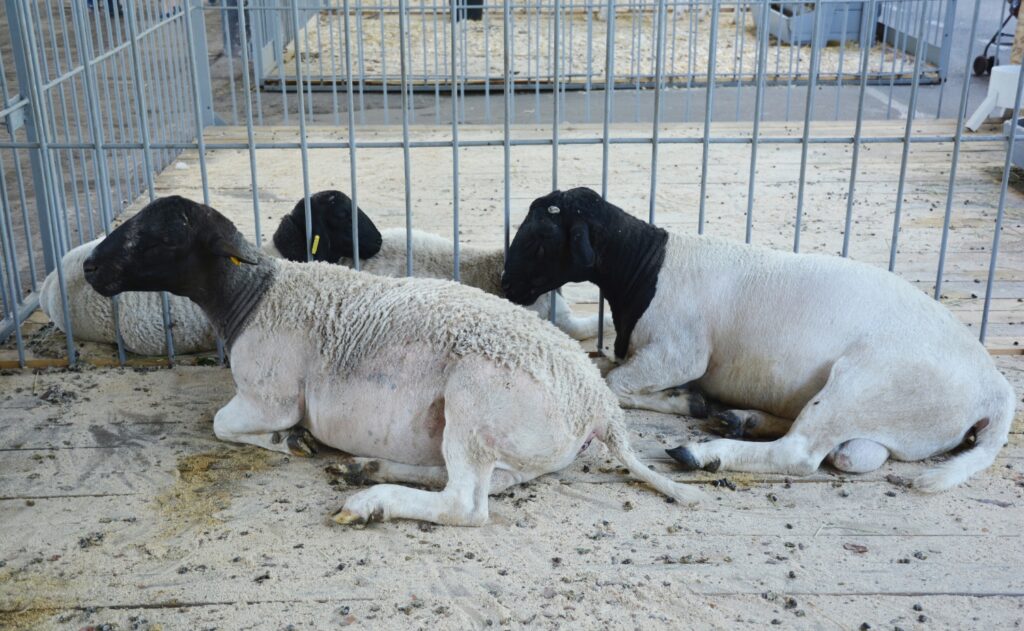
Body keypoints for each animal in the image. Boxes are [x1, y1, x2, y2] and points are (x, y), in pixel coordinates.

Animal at [497, 184, 1015, 489]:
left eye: (541, 239)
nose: (505, 286)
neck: (646, 268)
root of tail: (995, 387)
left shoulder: (680, 353)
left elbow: (616, 381)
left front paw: (684, 400)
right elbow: (609, 369)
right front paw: (692, 402)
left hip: (862, 381)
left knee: (802, 453)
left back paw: (703, 453)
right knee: (850, 453)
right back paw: (742, 420)